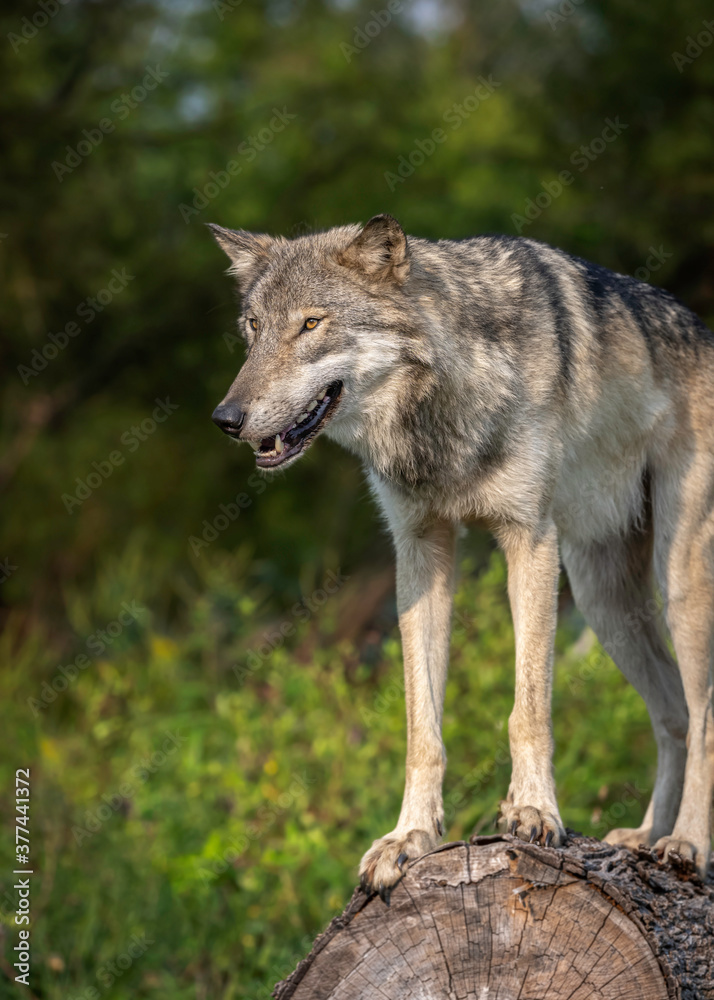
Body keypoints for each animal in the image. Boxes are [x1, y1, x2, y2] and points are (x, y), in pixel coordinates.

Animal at [209, 215, 712, 896]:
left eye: (311, 324)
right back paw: (644, 837)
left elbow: (528, 710)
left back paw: (687, 844)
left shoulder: (529, 539)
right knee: (673, 714)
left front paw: (533, 813)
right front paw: (410, 837)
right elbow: (422, 729)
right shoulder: (420, 552)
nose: (225, 418)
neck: (444, 410)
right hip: (605, 605)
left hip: (677, 586)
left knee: (702, 716)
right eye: (254, 328)